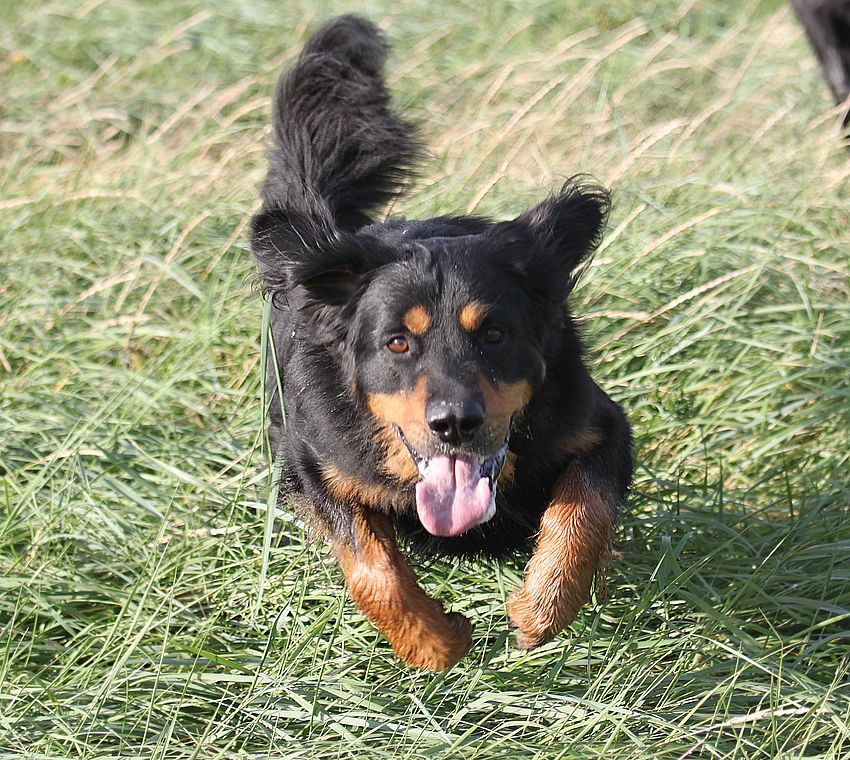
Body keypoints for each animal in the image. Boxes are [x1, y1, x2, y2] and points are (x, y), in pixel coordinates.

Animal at [251, 15, 632, 671]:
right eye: (398, 343)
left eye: (496, 334)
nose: (454, 424)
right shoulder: (309, 465)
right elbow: (371, 565)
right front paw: (433, 642)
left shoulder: (602, 427)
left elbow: (582, 510)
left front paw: (540, 608)